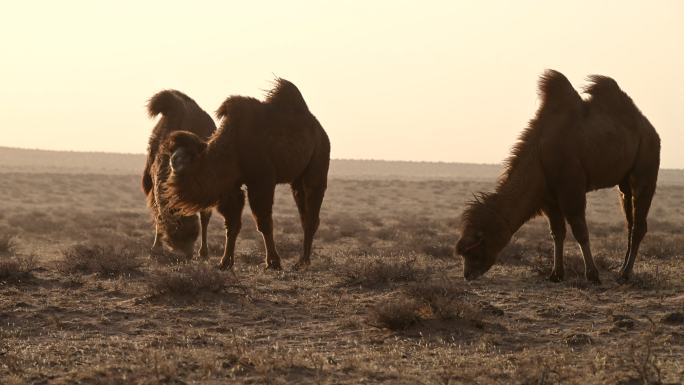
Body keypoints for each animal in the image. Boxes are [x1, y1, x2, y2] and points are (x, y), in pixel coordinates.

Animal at [141, 90, 214, 258]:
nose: (188, 254)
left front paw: (203, 252)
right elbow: (158, 216)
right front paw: (156, 247)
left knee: (205, 217)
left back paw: (204, 252)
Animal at [160, 79, 332, 268]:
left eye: (187, 155)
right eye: (172, 152)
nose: (173, 161)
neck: (231, 146)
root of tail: (319, 128)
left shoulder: (262, 179)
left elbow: (263, 222)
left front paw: (273, 262)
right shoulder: (231, 187)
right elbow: (232, 223)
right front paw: (225, 262)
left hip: (319, 157)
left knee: (312, 203)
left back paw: (304, 261)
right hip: (297, 179)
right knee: (303, 208)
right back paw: (302, 259)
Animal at [456, 70, 660, 284]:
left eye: (475, 249)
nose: (467, 275)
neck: (539, 156)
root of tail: (650, 129)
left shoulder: (571, 187)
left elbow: (580, 231)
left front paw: (592, 275)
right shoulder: (548, 198)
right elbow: (557, 233)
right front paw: (556, 274)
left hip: (646, 163)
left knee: (639, 222)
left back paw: (625, 274)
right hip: (624, 183)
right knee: (629, 220)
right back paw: (622, 270)